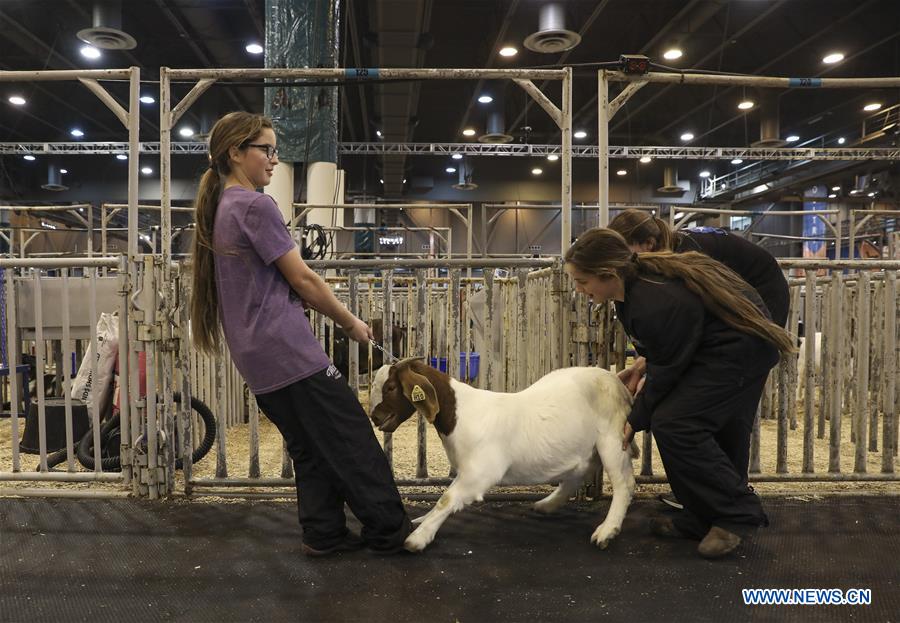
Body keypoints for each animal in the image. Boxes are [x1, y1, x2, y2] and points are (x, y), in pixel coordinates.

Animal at [370, 358, 636, 552]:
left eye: (391, 388)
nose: (375, 417)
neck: (459, 414)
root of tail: (617, 383)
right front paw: (421, 521)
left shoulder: (480, 472)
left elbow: (447, 498)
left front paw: (418, 538)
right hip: (587, 447)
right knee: (580, 473)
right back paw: (547, 504)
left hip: (613, 438)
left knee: (624, 483)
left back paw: (606, 531)